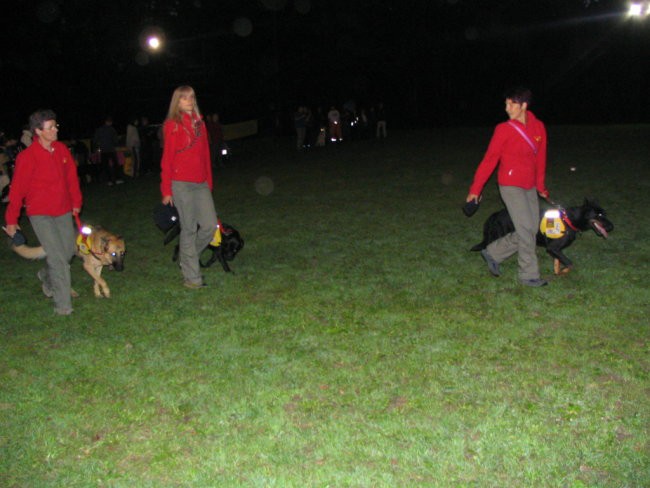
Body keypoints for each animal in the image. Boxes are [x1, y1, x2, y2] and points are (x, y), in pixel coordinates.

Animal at [468, 198, 612, 274]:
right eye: (599, 215)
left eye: (604, 213)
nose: (612, 227)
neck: (570, 220)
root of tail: (495, 214)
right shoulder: (553, 248)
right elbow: (570, 263)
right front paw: (563, 271)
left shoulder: (556, 250)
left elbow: (558, 262)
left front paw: (558, 270)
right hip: (498, 236)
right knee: (488, 248)